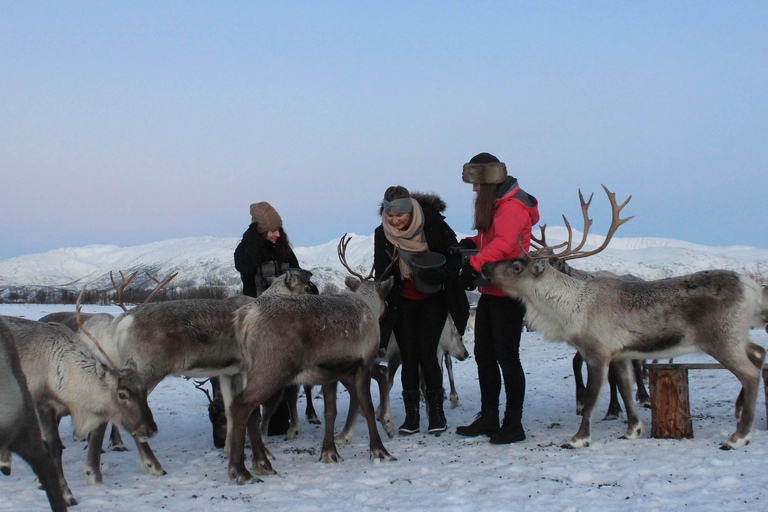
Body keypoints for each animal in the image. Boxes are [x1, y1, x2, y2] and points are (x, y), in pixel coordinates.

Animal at [226, 235, 396, 484]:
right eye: (385, 297)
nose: (388, 308)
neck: (367, 305)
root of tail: (245, 317)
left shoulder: (331, 372)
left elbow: (330, 411)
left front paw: (329, 452)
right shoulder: (363, 363)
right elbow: (366, 404)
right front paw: (379, 451)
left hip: (251, 372)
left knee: (252, 412)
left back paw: (261, 463)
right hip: (272, 369)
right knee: (241, 405)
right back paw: (241, 470)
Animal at [481, 185, 765, 450]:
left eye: (516, 266)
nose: (484, 265)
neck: (571, 308)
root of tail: (751, 286)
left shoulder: (597, 352)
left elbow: (592, 397)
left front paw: (579, 438)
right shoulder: (620, 354)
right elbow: (626, 390)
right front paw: (633, 430)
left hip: (721, 339)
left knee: (750, 373)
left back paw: (739, 436)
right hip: (737, 335)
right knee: (759, 352)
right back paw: (739, 412)